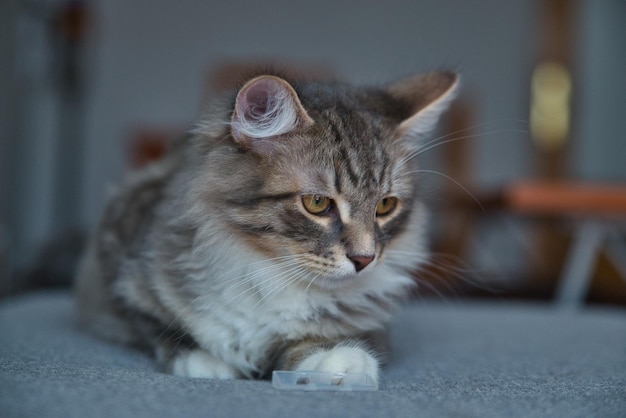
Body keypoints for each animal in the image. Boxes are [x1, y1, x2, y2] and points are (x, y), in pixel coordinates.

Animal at [75, 70, 458, 384]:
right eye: (317, 203)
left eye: (385, 206)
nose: (364, 259)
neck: (269, 271)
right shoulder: (121, 278)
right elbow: (165, 328)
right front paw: (207, 361)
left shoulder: (374, 321)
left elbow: (328, 338)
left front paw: (338, 361)